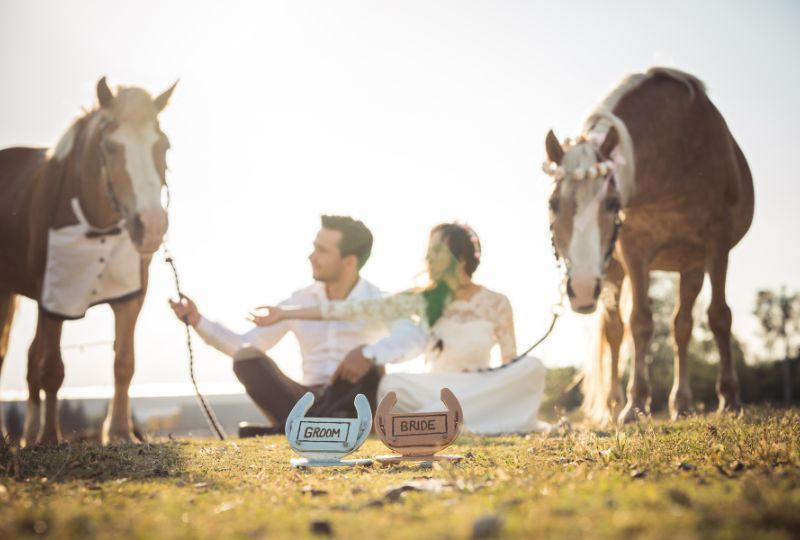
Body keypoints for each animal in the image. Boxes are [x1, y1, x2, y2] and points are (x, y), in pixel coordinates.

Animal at [0, 79, 176, 442]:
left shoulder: (131, 297)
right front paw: (50, 438)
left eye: (163, 145)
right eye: (109, 146)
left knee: (30, 359)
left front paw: (120, 433)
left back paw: (27, 435)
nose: (151, 225)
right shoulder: (53, 299)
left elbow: (124, 362)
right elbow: (52, 369)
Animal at [540, 67, 752, 424]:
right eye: (553, 204)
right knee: (615, 330)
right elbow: (639, 322)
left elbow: (720, 317)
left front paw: (730, 398)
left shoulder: (717, 243)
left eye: (613, 203)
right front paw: (635, 403)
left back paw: (682, 403)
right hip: (613, 269)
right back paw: (614, 403)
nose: (581, 289)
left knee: (682, 326)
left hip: (690, 265)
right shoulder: (634, 249)